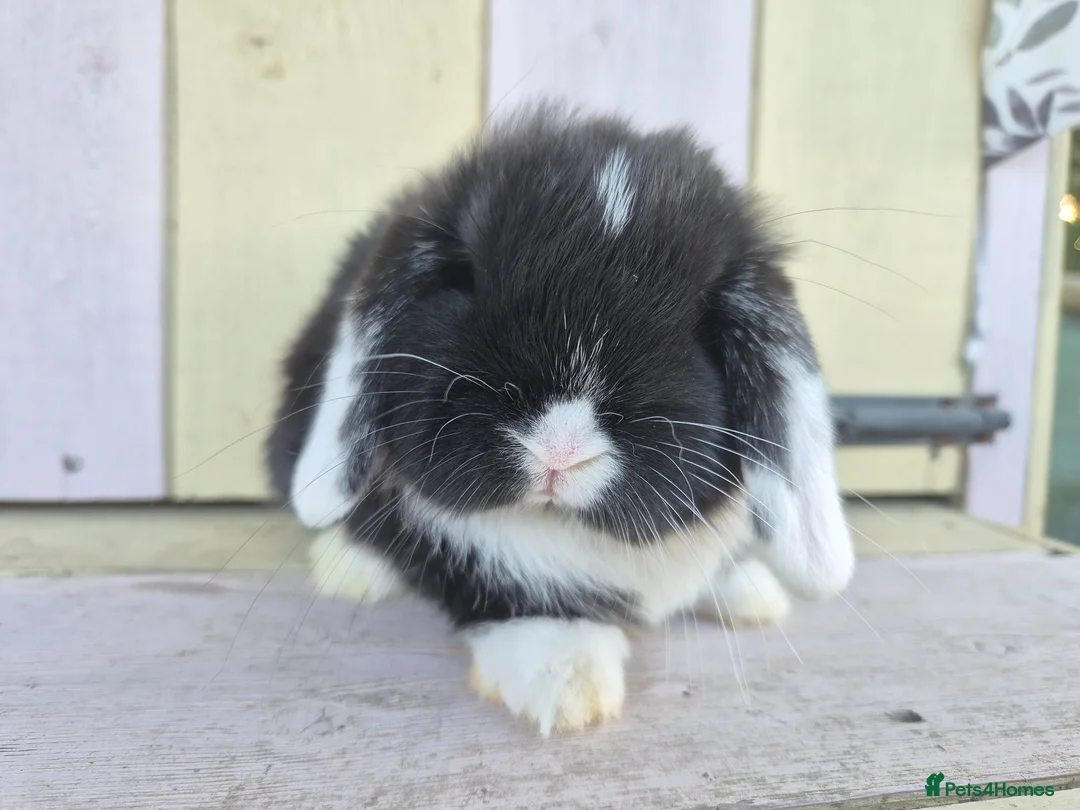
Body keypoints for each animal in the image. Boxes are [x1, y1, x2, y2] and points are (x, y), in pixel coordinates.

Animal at [264, 103, 855, 736]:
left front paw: (744, 590)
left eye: (702, 322)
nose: (560, 449)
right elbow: (496, 583)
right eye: (466, 279)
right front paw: (565, 674)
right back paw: (349, 568)